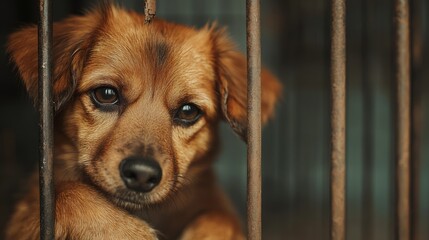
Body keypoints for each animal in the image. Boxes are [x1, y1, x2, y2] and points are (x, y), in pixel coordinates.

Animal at [6, 3, 280, 240]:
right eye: (106, 94)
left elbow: (221, 218)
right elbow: (67, 192)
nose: (141, 174)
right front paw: (128, 232)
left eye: (188, 111)